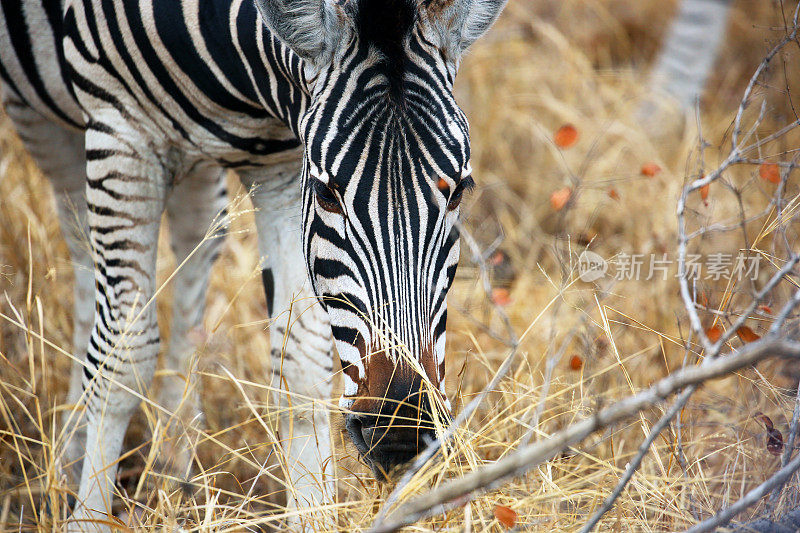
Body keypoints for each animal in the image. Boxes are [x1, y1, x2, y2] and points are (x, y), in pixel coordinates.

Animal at [0, 0, 506, 524]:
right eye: (327, 193)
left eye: (460, 190)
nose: (401, 432)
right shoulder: (122, 131)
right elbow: (123, 355)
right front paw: (87, 517)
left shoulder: (283, 164)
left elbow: (300, 361)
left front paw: (313, 513)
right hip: (39, 113)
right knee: (81, 245)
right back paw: (72, 456)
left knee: (196, 244)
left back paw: (170, 469)